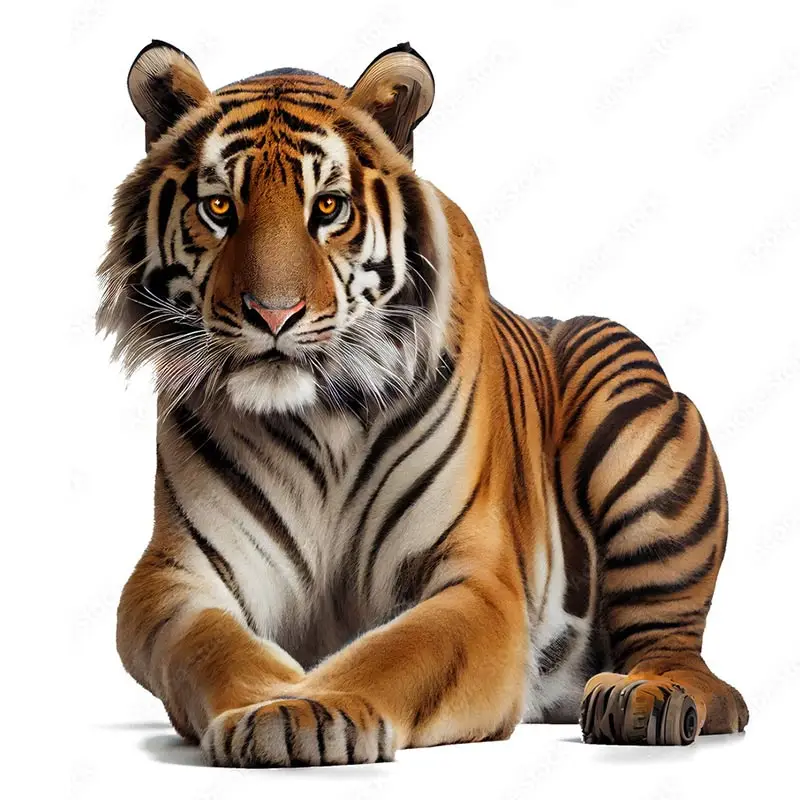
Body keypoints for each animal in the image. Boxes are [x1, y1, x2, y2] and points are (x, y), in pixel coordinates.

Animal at [97, 40, 749, 766]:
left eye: (329, 208)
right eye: (218, 207)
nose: (274, 313)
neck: (318, 415)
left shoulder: (475, 582)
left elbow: (397, 650)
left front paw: (308, 708)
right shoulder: (177, 576)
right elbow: (212, 646)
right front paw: (274, 703)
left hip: (633, 419)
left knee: (688, 660)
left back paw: (645, 699)